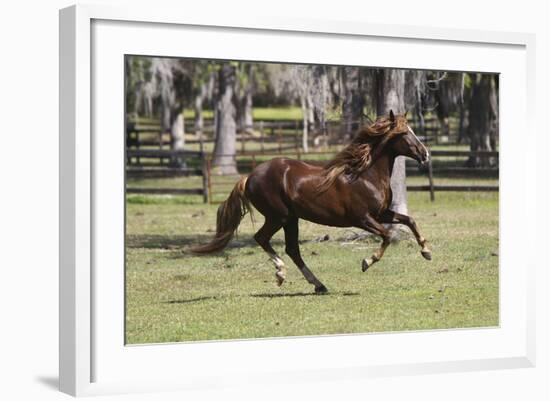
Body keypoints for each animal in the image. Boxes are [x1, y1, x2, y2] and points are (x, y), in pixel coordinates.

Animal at [196, 111, 434, 292]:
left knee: (292, 249)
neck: (365, 175)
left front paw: (426, 252)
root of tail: (249, 177)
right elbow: (386, 236)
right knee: (262, 238)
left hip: (291, 219)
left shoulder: (382, 213)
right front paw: (367, 262)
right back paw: (281, 273)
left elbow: (409, 220)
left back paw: (318, 285)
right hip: (279, 217)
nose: (425, 154)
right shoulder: (363, 219)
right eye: (404, 133)